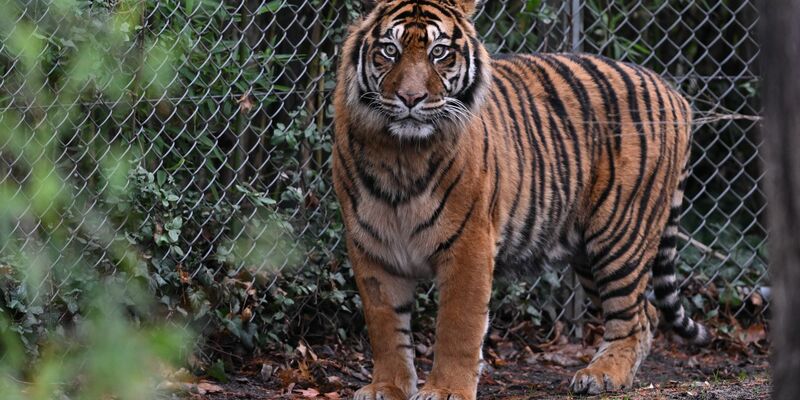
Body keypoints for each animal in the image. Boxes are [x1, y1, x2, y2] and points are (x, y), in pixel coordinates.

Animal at [331, 0, 711, 398]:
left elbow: (457, 326)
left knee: (633, 315)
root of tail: (675, 93)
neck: (400, 154)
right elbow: (385, 327)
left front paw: (446, 390)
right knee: (648, 314)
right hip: (588, 251)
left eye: (439, 53)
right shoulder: (371, 246)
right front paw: (385, 387)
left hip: (620, 233)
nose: (410, 98)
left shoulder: (469, 243)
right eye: (390, 50)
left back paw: (603, 375)